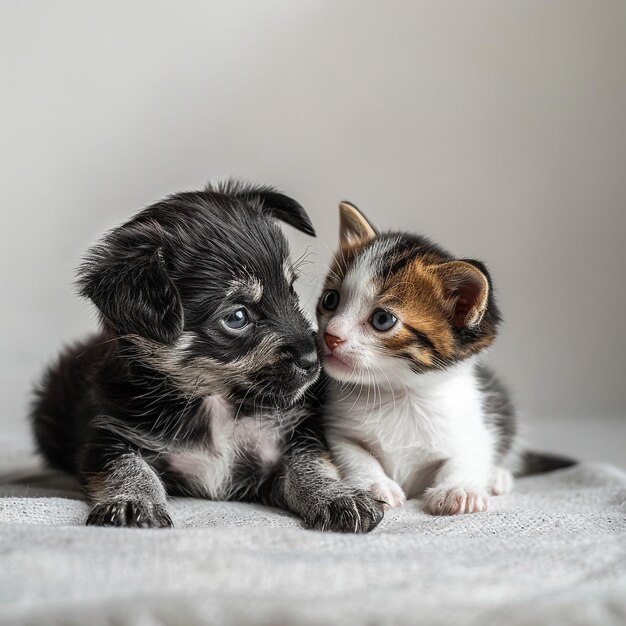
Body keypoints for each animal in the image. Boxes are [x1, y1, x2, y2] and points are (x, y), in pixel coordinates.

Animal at [31, 182, 382, 532]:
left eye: (290, 291)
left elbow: (310, 462)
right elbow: (126, 466)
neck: (214, 401)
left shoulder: (292, 439)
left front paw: (336, 495)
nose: (313, 360)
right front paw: (132, 502)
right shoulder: (109, 435)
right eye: (237, 317)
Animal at [314, 202, 572, 516]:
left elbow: (471, 452)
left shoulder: (477, 423)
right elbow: (354, 454)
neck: (399, 394)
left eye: (382, 319)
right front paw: (375, 485)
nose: (330, 335)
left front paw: (457, 489)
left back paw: (497, 477)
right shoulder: (336, 429)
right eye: (330, 300)